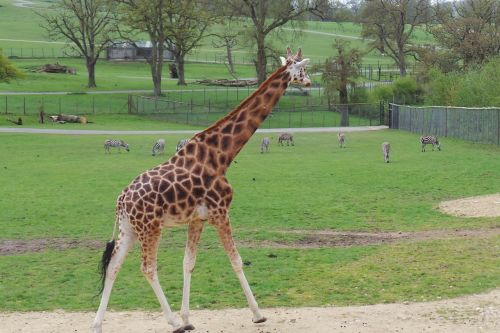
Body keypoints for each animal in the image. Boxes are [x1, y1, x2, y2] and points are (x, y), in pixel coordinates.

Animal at [91, 47, 308, 332]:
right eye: (303, 69)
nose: (309, 83)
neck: (222, 155)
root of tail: (122, 199)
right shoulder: (220, 212)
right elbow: (236, 259)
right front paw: (258, 314)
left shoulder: (197, 219)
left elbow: (188, 263)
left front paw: (188, 317)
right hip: (150, 227)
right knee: (147, 267)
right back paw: (172, 322)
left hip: (129, 228)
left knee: (114, 265)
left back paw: (97, 324)